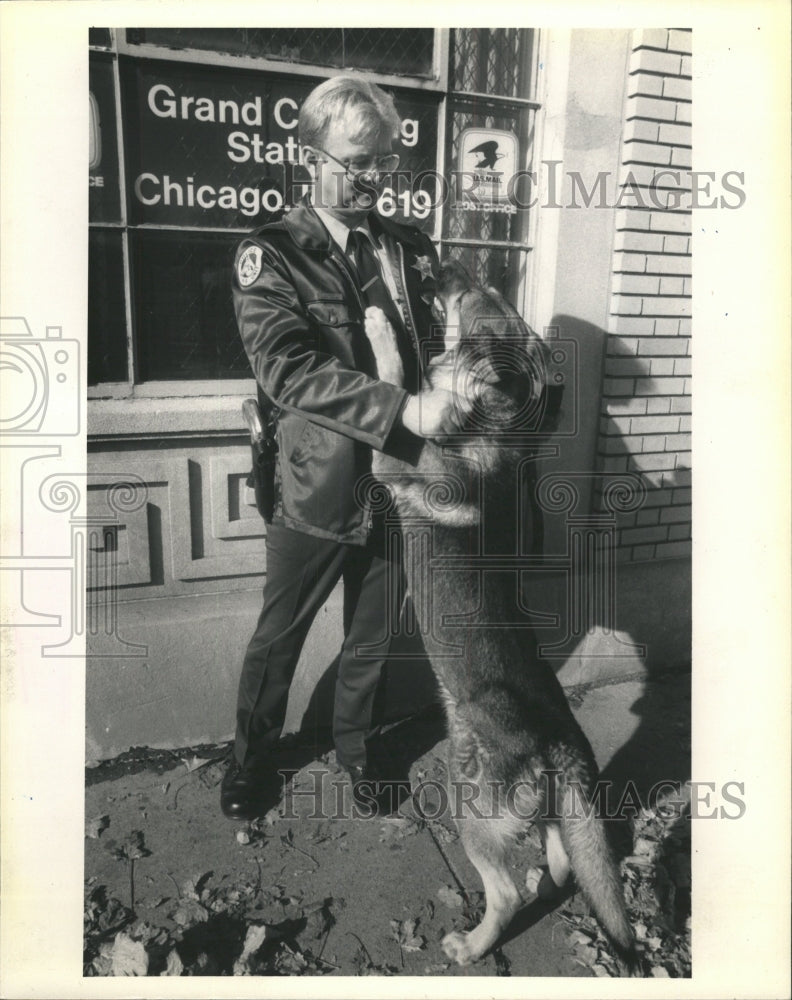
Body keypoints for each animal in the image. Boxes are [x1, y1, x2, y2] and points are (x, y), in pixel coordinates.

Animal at [362, 262, 636, 972]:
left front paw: (381, 330)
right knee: (564, 858)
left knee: (507, 891)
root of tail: (558, 742)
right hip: (546, 805)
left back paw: (473, 942)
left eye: (473, 300)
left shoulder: (390, 455)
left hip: (470, 803)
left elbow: (394, 380)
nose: (440, 268)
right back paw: (549, 876)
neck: (492, 418)